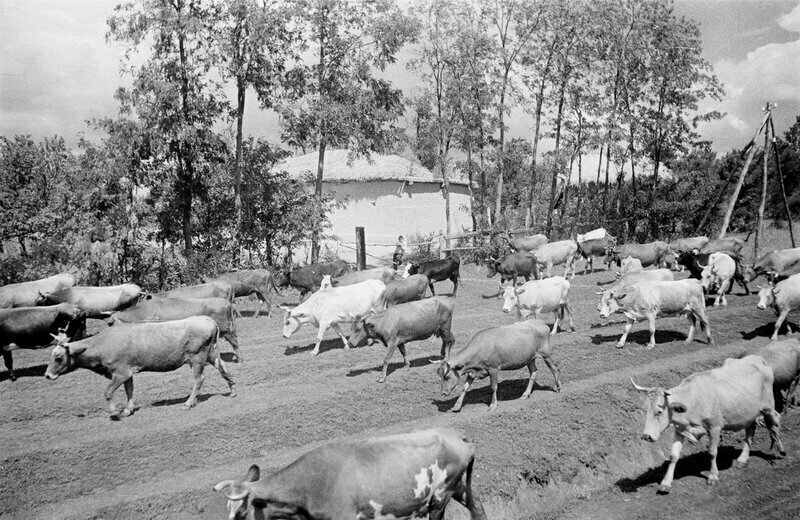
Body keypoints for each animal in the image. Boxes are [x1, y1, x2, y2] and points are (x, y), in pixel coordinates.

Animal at [43, 314, 234, 420]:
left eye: (58, 357)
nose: (47, 375)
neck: (104, 343)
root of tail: (206, 319)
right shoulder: (128, 372)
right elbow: (129, 390)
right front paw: (128, 409)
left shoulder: (120, 372)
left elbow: (108, 392)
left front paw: (115, 412)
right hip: (210, 353)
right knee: (223, 366)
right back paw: (232, 390)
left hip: (197, 357)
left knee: (199, 378)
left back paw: (188, 403)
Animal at [636, 356, 784, 494]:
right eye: (645, 410)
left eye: (659, 412)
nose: (646, 436)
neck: (694, 399)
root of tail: (757, 359)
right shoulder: (680, 430)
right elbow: (673, 456)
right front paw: (666, 483)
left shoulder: (715, 427)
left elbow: (712, 452)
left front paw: (713, 476)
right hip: (749, 413)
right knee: (750, 430)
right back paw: (742, 459)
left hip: (768, 406)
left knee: (776, 419)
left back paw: (780, 450)